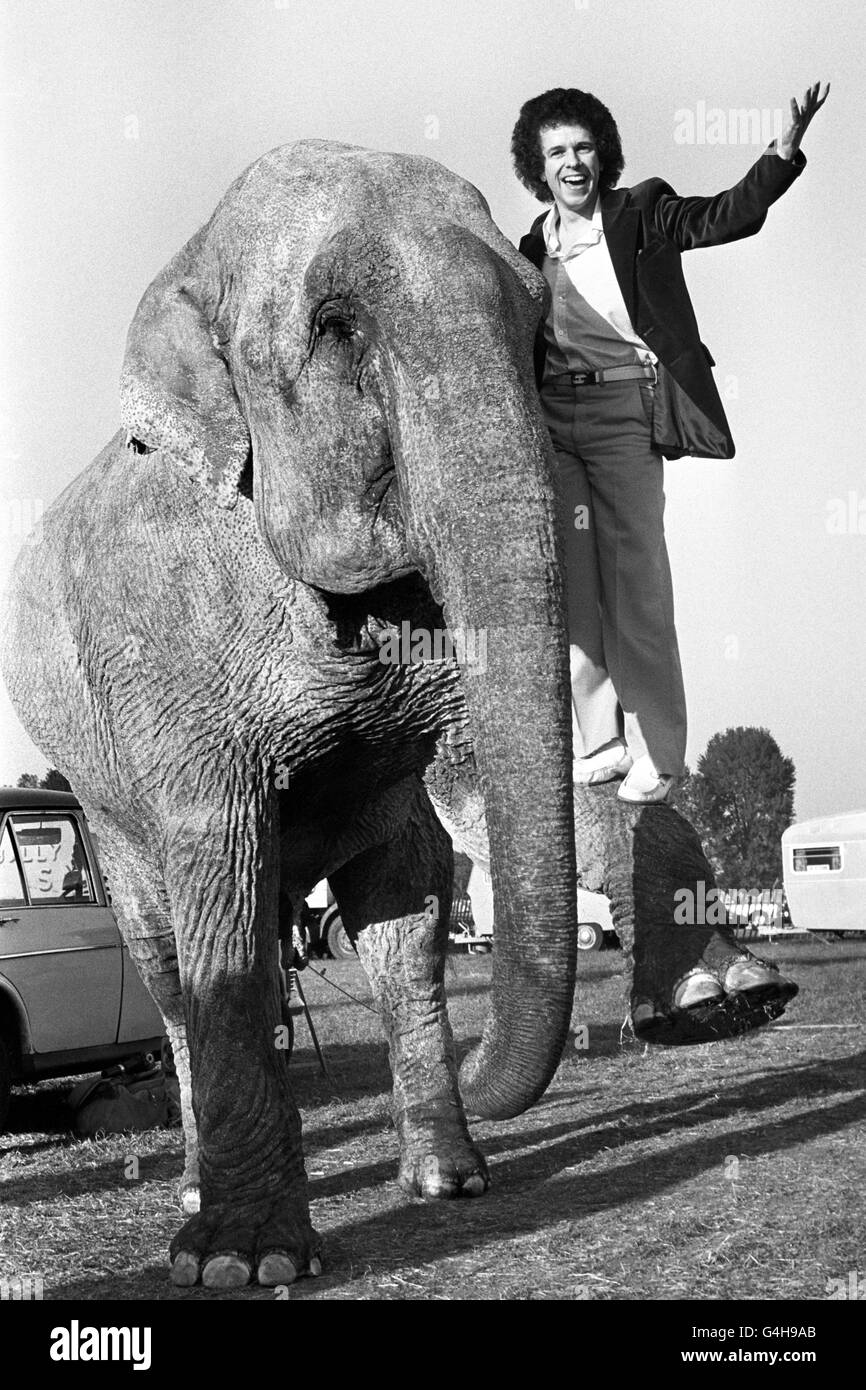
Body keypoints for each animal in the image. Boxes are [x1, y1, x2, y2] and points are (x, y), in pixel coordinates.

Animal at [1, 141, 800, 1289]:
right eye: (339, 327)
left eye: (537, 332)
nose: (492, 1065)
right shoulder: (164, 653)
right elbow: (220, 876)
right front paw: (244, 1264)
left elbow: (461, 815)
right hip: (99, 805)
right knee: (167, 961)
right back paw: (199, 1196)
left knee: (399, 919)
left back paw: (442, 1170)